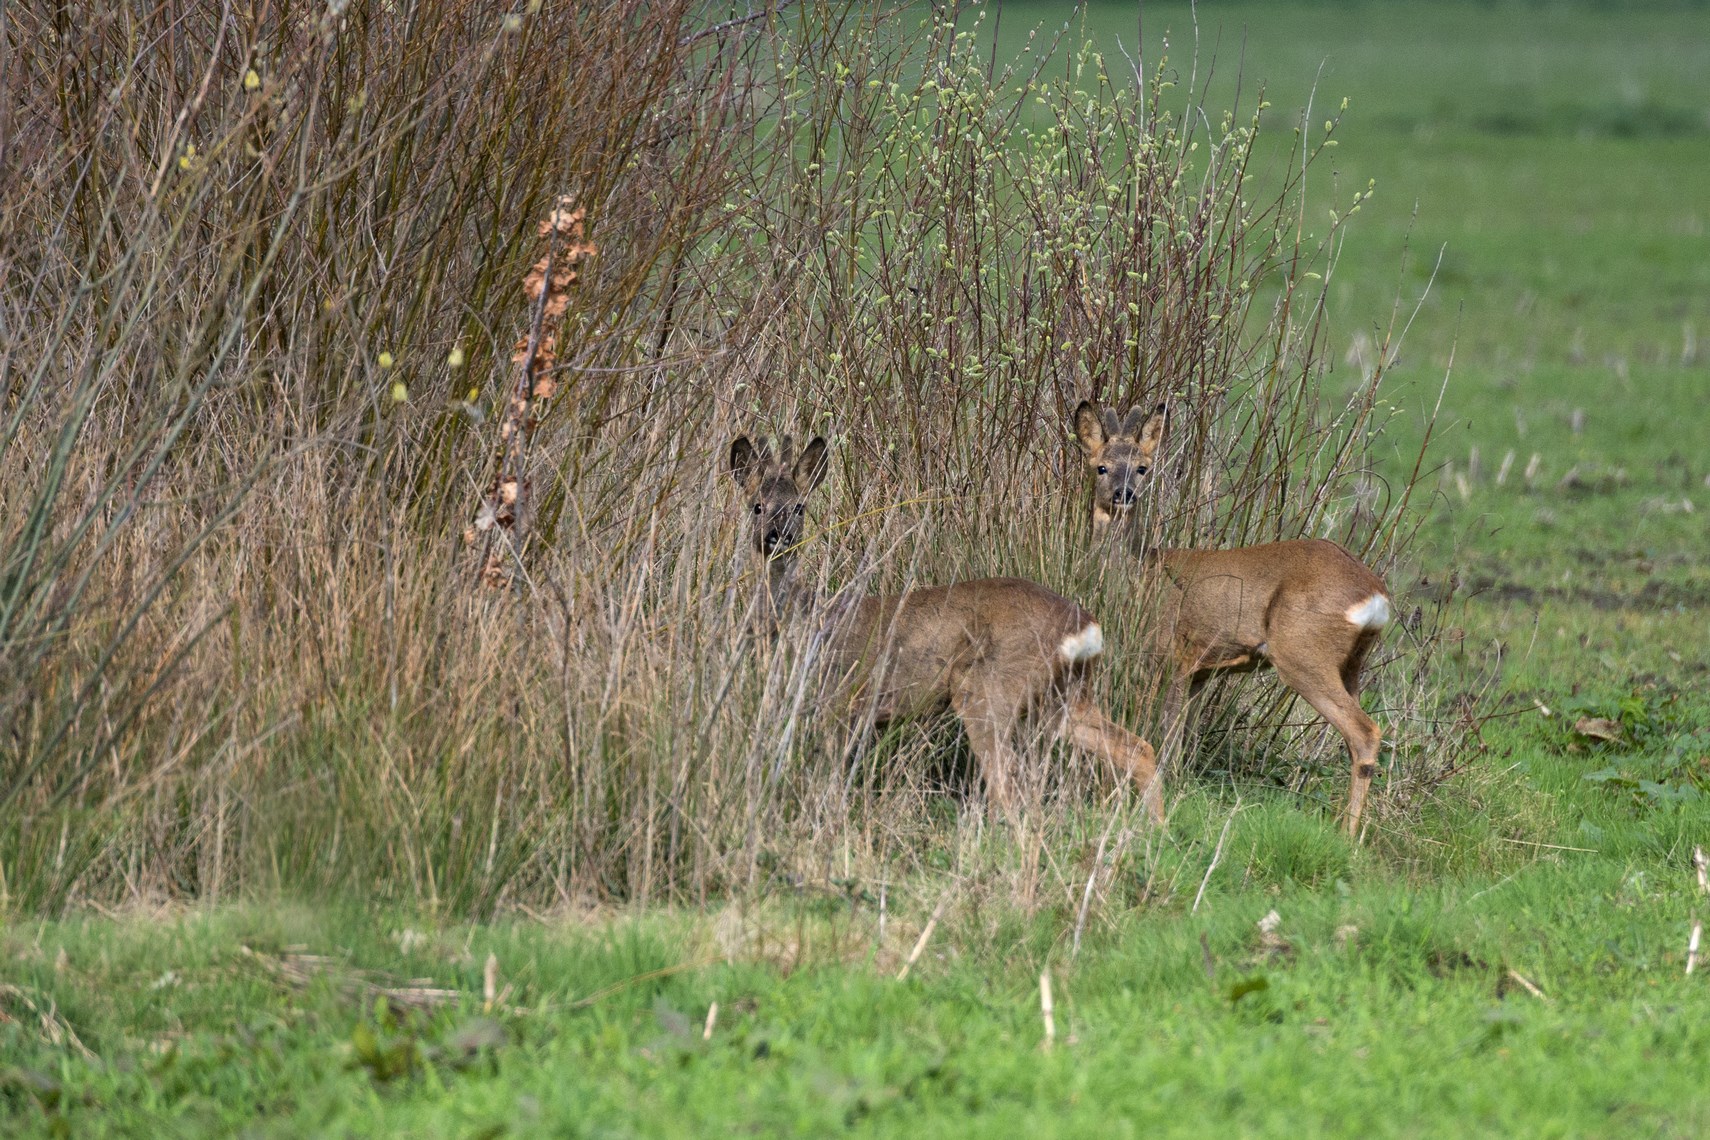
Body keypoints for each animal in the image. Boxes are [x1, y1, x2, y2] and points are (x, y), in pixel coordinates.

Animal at [728, 432, 1169, 823]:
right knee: (1138, 748)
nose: (779, 536)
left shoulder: (836, 696)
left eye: (800, 507)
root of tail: (1084, 625)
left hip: (989, 690)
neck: (800, 620)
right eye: (756, 506)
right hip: (1063, 698)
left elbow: (830, 777)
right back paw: (1155, 829)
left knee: (1009, 785)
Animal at [1067, 401, 1388, 837]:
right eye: (1101, 466)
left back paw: (1348, 836)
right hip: (1353, 663)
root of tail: (1374, 591)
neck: (1139, 574)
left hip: (1303, 652)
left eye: (1143, 468)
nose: (1124, 494)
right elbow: (1182, 741)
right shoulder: (1202, 670)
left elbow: (1166, 735)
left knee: (1365, 731)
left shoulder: (1170, 656)